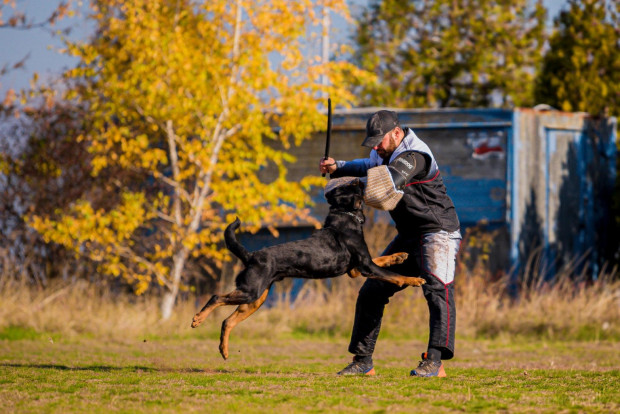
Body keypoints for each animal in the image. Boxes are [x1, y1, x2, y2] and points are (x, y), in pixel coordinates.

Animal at [191, 178, 424, 360]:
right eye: (349, 186)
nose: (360, 179)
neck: (346, 216)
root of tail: (251, 256)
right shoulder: (365, 267)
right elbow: (395, 276)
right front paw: (414, 279)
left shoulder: (356, 269)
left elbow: (383, 259)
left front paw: (399, 256)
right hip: (251, 292)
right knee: (216, 297)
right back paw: (198, 319)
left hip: (256, 299)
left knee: (227, 321)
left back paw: (224, 350)